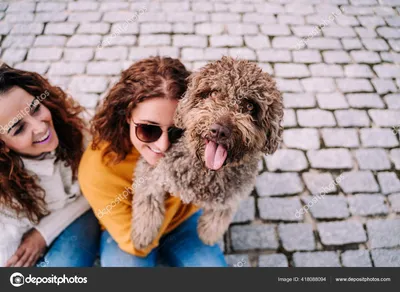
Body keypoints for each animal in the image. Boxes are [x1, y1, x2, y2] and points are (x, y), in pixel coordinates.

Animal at [130, 56, 282, 249]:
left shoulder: (231, 196)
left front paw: (207, 234)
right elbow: (148, 202)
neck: (207, 171)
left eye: (249, 106)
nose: (220, 131)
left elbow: (218, 217)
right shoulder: (152, 171)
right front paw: (143, 235)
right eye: (213, 93)